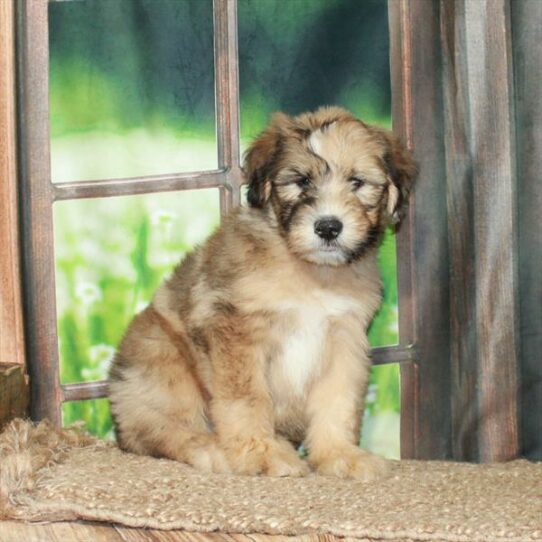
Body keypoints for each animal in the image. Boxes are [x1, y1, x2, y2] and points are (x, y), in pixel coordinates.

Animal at [108, 106, 418, 480]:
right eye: (302, 181)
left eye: (357, 182)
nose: (328, 227)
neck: (310, 273)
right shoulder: (237, 327)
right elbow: (248, 399)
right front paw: (261, 452)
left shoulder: (344, 339)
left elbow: (338, 401)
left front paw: (340, 454)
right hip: (163, 356)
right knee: (155, 429)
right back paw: (208, 448)